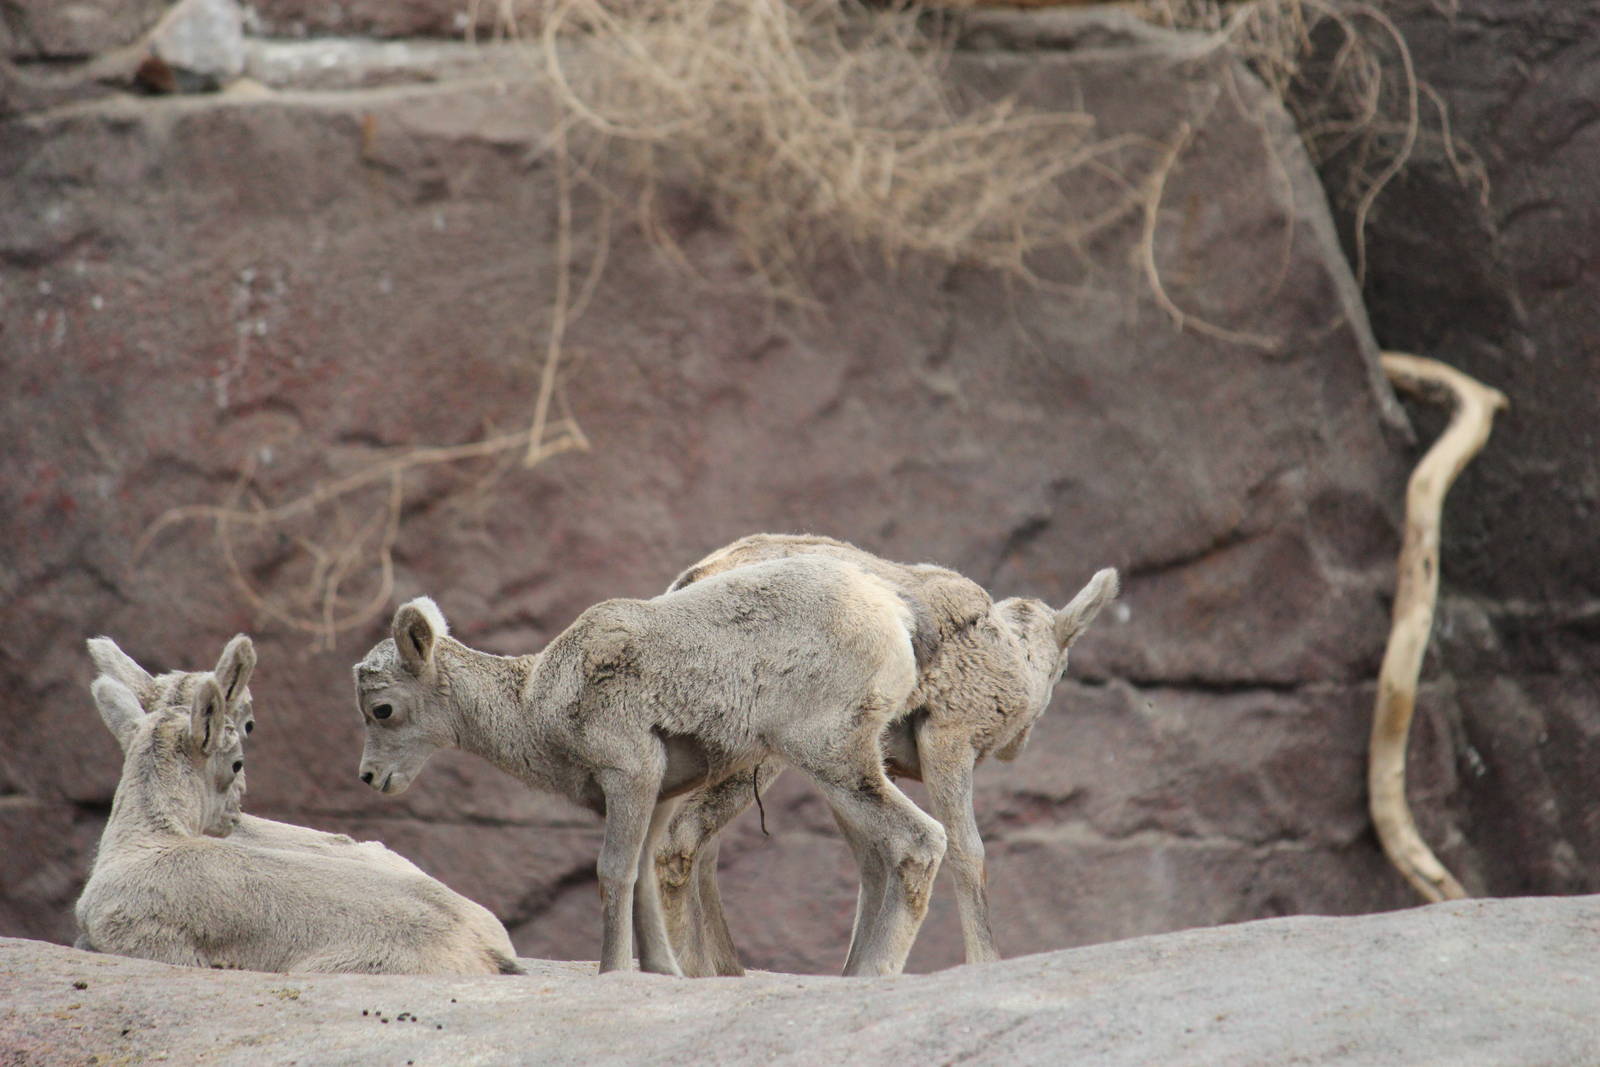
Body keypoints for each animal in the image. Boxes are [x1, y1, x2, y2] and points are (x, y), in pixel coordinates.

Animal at [351, 555, 950, 976]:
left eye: (382, 710)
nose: (370, 779)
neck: (538, 701)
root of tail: (894, 615)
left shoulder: (630, 774)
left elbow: (613, 871)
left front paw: (612, 970)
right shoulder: (661, 795)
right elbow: (642, 878)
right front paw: (663, 971)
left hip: (830, 754)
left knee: (920, 840)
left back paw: (874, 971)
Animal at [655, 533, 1119, 976]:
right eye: (1062, 669)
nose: (1017, 747)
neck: (1010, 653)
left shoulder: (873, 767)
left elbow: (873, 864)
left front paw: (856, 969)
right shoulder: (947, 739)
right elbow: (967, 852)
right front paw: (983, 961)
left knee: (703, 845)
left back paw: (724, 968)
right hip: (769, 751)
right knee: (688, 838)